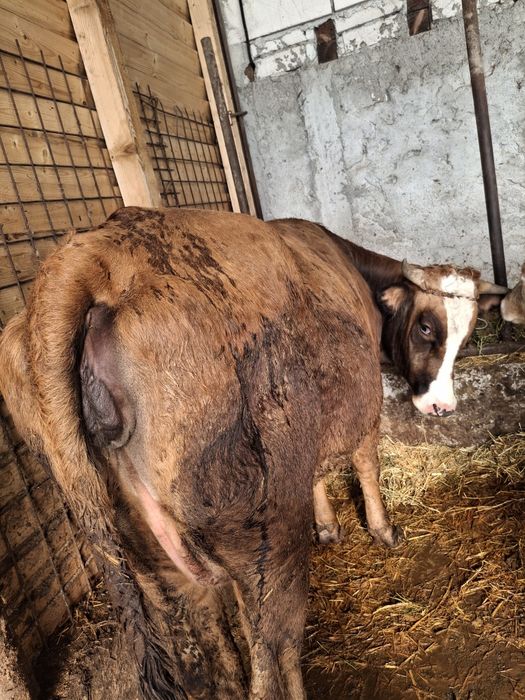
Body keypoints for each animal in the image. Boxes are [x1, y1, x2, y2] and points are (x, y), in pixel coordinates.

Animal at [0, 207, 505, 699]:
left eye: (468, 335)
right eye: (426, 327)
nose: (442, 407)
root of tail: (95, 252)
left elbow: (318, 476)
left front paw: (327, 526)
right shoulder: (365, 411)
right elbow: (367, 464)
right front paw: (382, 530)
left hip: (151, 563)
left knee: (210, 661)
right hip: (264, 537)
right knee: (274, 652)